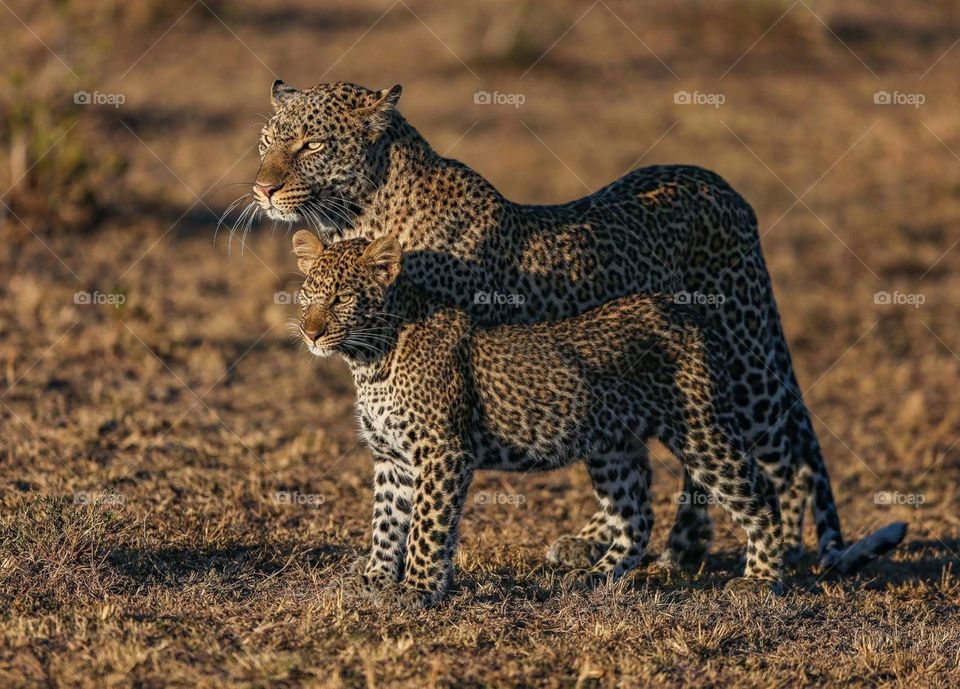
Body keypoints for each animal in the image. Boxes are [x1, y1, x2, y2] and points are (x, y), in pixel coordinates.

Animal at [291, 230, 786, 608]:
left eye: (342, 298)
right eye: (308, 296)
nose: (310, 333)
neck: (368, 362)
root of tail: (685, 310)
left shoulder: (443, 452)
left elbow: (425, 527)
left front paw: (416, 589)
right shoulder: (393, 458)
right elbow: (386, 522)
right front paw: (374, 578)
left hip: (700, 432)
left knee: (761, 493)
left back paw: (762, 580)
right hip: (613, 448)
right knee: (636, 517)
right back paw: (595, 575)